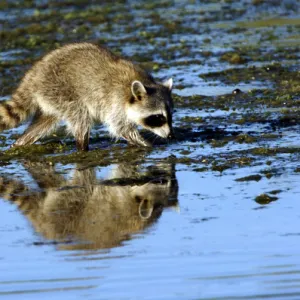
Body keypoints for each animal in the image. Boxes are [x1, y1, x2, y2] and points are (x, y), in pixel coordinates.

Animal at [0, 42, 173, 150]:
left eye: (170, 116)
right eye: (158, 117)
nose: (171, 136)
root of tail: (34, 75)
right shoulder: (114, 101)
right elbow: (120, 127)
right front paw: (145, 144)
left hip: (50, 97)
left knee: (44, 122)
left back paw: (20, 142)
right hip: (60, 91)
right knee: (80, 116)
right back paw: (82, 146)